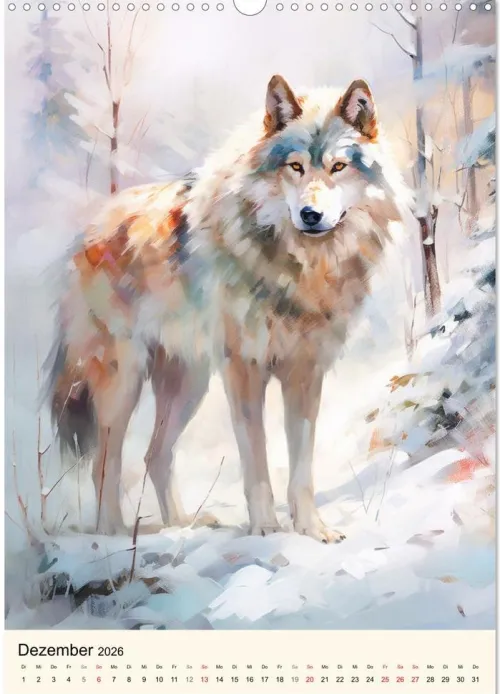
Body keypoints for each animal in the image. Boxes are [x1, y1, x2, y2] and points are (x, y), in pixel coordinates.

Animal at [48, 75, 409, 541]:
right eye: (295, 167)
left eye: (338, 167)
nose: (310, 214)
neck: (303, 270)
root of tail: (88, 229)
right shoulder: (244, 369)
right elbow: (256, 461)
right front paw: (266, 530)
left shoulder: (305, 373)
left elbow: (302, 467)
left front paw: (313, 530)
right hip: (123, 383)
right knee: (104, 464)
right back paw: (114, 535)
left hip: (188, 385)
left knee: (154, 455)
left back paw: (180, 524)